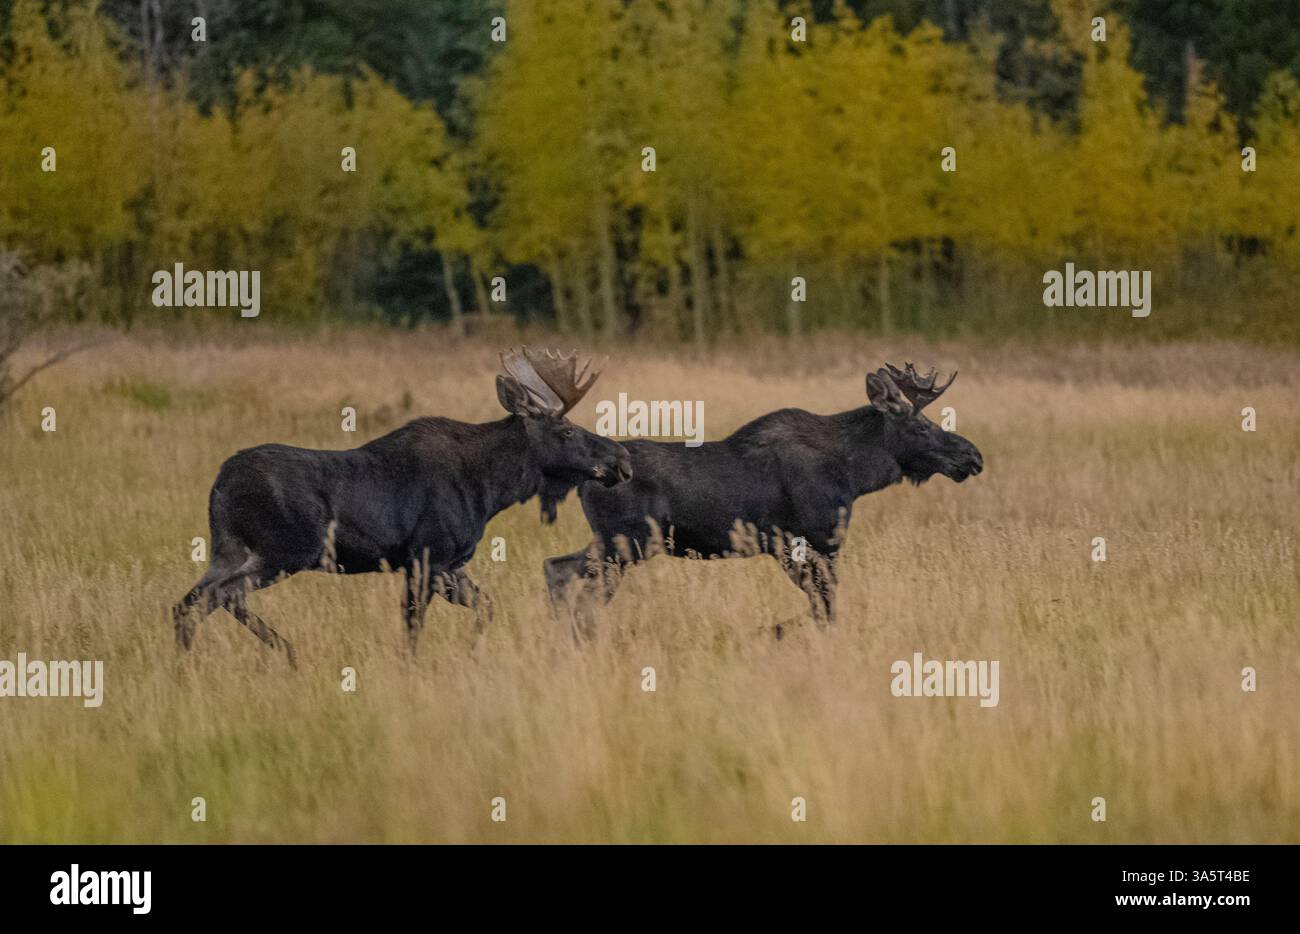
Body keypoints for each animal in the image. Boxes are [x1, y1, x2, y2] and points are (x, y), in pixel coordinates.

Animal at [173, 348, 632, 665]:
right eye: (566, 430)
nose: (621, 458)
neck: (491, 489)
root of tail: (220, 483)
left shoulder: (449, 565)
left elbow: (486, 607)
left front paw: (471, 650)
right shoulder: (424, 556)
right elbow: (413, 626)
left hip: (228, 547)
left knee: (192, 601)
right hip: (284, 549)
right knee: (216, 597)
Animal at [543, 363, 983, 632]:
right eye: (922, 426)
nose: (972, 456)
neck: (855, 474)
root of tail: (584, 481)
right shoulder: (811, 542)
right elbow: (826, 608)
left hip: (615, 544)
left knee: (556, 568)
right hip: (624, 543)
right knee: (576, 586)